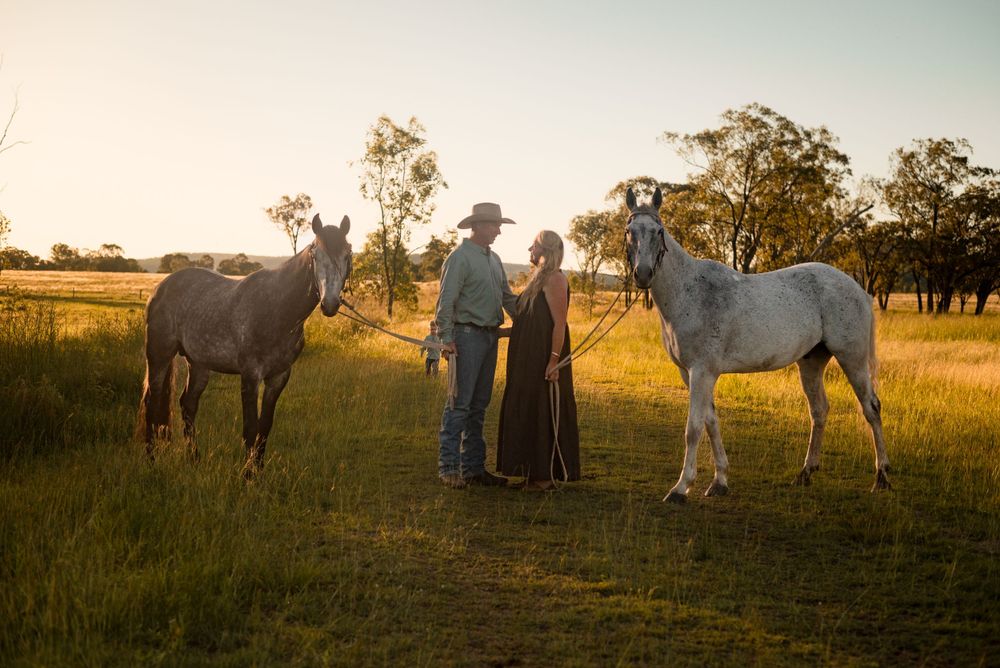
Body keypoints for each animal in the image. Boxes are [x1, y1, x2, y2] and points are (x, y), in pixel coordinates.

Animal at [138, 214, 352, 478]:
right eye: (315, 255)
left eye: (347, 254)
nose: (330, 304)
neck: (277, 308)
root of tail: (160, 288)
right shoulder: (250, 375)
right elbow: (250, 428)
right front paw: (248, 477)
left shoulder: (279, 377)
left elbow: (264, 427)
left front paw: (259, 473)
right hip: (159, 355)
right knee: (152, 400)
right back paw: (151, 461)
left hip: (198, 364)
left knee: (188, 405)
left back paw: (194, 460)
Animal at [623, 187, 890, 502]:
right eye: (629, 231)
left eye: (659, 231)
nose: (643, 274)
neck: (689, 292)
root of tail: (858, 289)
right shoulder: (690, 373)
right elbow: (711, 422)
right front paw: (719, 481)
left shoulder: (702, 372)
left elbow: (694, 428)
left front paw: (681, 487)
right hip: (812, 361)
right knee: (819, 410)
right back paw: (805, 473)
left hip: (852, 358)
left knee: (871, 408)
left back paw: (882, 477)